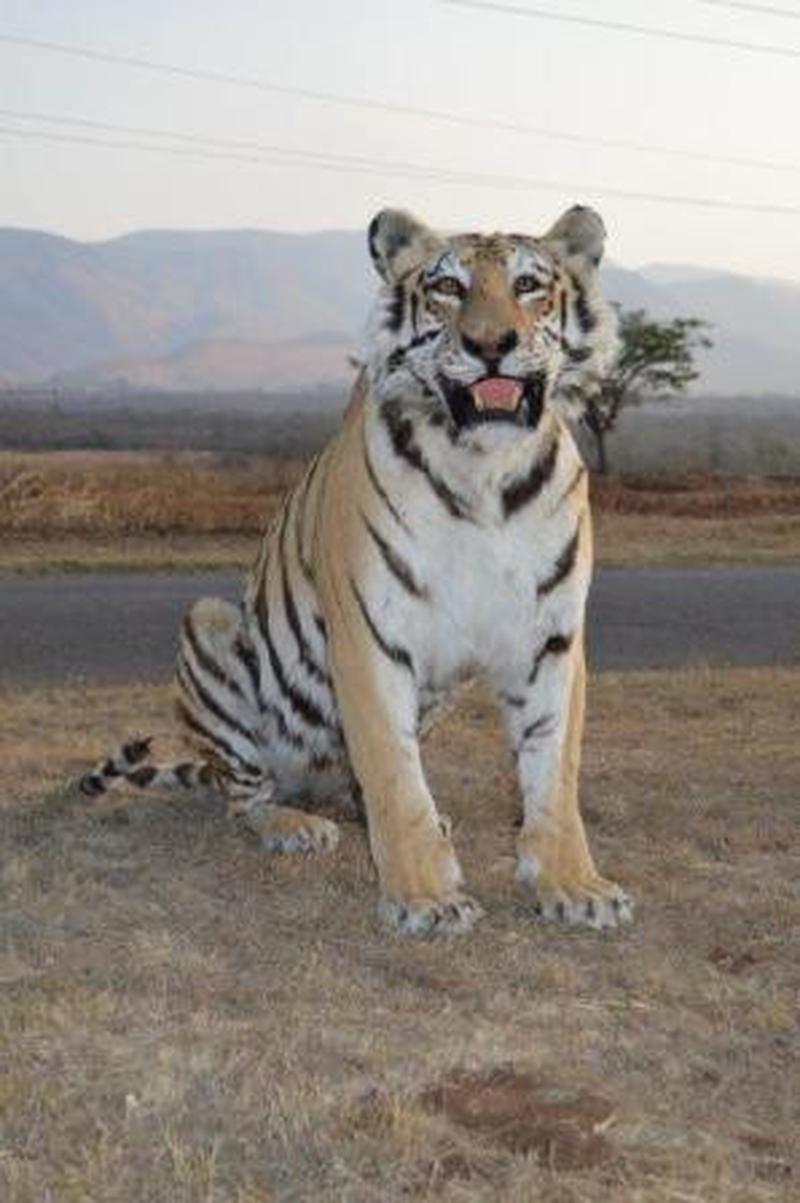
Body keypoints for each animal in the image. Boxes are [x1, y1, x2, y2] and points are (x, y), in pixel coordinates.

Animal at [79, 203, 632, 936]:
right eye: (448, 288)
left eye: (530, 285)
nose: (491, 344)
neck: (484, 471)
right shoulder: (371, 635)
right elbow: (395, 774)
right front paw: (426, 898)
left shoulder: (552, 639)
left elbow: (554, 770)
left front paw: (573, 884)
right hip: (212, 627)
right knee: (244, 794)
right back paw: (294, 823)